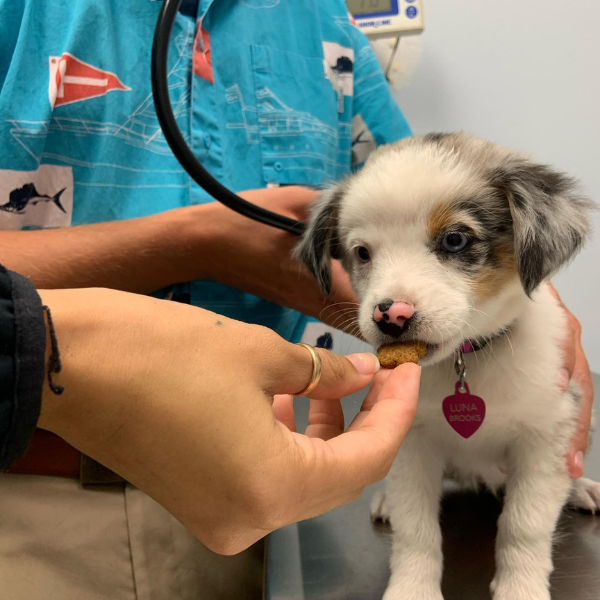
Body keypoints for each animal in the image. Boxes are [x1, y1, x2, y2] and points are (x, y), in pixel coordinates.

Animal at [296, 134, 600, 600]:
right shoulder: (412, 440)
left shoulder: (548, 435)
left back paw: (581, 487)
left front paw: (521, 587)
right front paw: (411, 588)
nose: (391, 316)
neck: (467, 358)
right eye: (362, 253)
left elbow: (524, 525)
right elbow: (415, 528)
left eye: (455, 240)